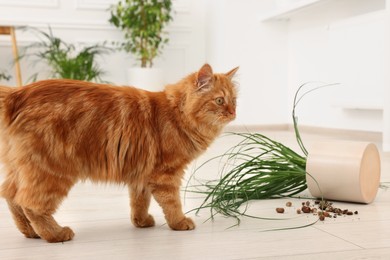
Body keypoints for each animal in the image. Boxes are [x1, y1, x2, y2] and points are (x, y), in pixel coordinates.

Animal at [0, 64, 238, 243]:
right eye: (220, 100)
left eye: (234, 100)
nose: (233, 113)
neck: (177, 113)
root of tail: (17, 93)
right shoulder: (166, 174)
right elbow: (172, 203)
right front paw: (179, 223)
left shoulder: (142, 174)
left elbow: (139, 201)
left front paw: (141, 222)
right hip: (52, 171)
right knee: (30, 205)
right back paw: (55, 234)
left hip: (22, 169)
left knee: (12, 197)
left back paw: (31, 233)